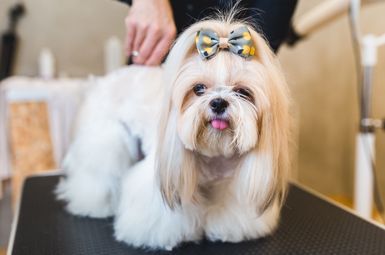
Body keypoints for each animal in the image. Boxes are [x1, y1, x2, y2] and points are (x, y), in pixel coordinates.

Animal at [56, 16, 292, 250]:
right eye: (198, 89)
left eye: (242, 92)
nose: (218, 103)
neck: (213, 157)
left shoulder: (231, 182)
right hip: (108, 139)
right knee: (98, 175)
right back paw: (93, 204)